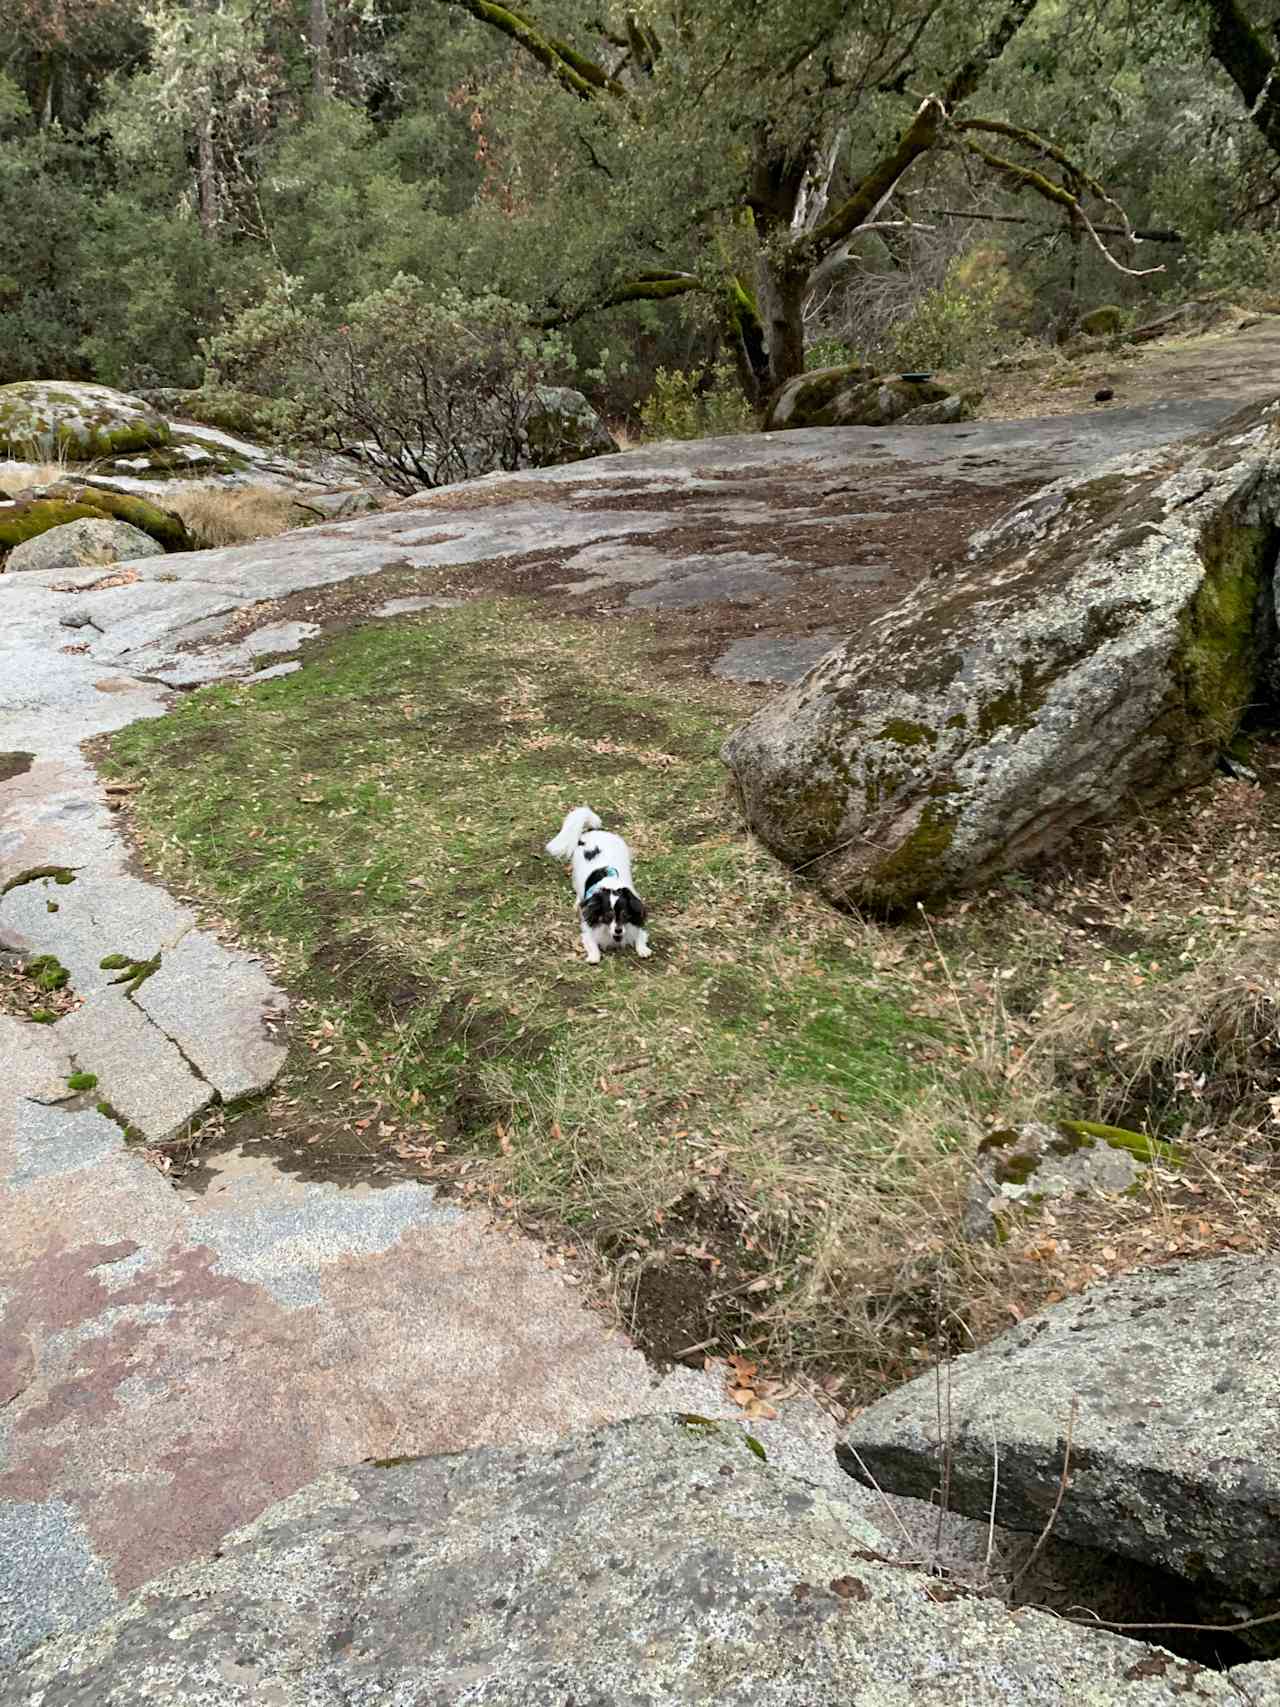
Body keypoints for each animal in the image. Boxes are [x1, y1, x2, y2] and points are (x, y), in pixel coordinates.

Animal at [549, 802, 655, 962]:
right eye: (608, 916)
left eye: (625, 915)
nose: (618, 930)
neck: (611, 885)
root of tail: (595, 831)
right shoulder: (588, 928)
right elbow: (592, 943)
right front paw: (594, 957)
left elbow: (640, 935)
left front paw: (643, 949)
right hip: (576, 877)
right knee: (579, 892)